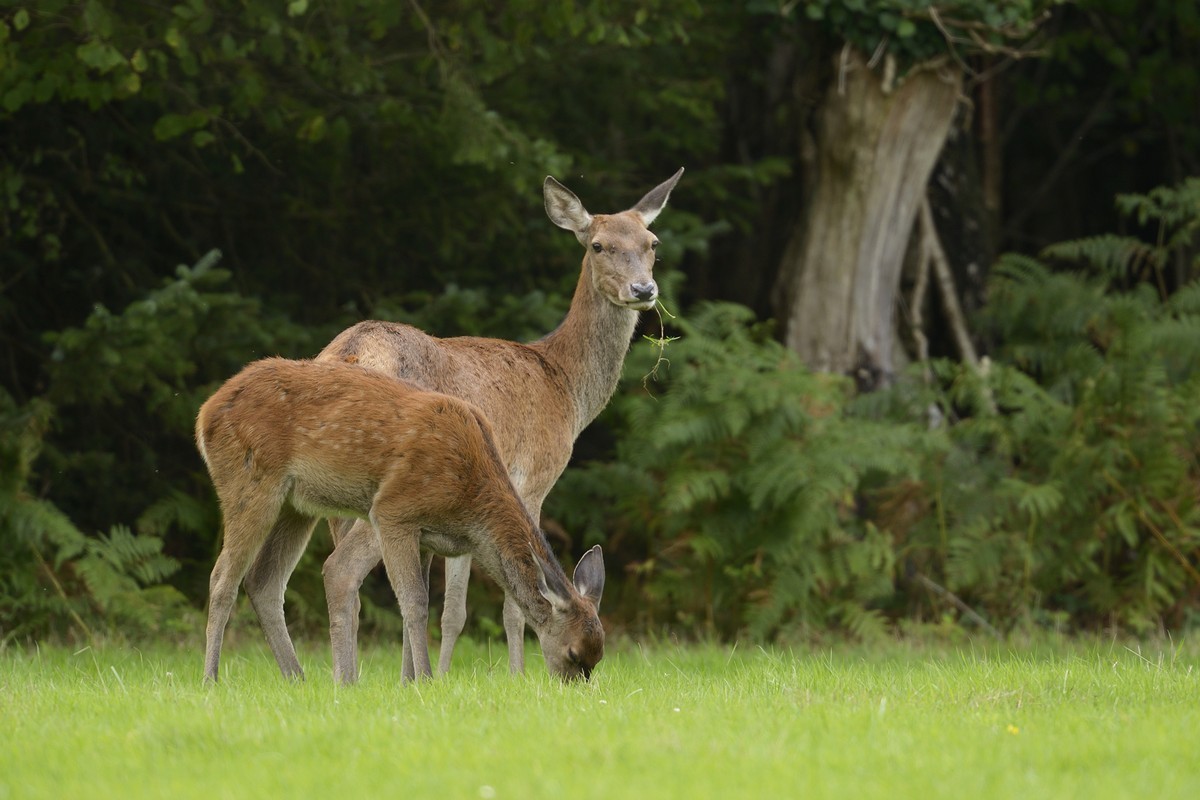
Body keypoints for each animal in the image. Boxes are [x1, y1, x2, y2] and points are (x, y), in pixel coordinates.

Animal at [201, 359, 609, 686]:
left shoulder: (427, 536)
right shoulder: (394, 511)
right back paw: (211, 680)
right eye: (574, 654)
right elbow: (414, 601)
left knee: (263, 581)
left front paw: (410, 679)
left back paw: (297, 678)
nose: (575, 689)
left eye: (599, 656)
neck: (470, 498)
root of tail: (205, 415)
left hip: (297, 506)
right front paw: (425, 679)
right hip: (250, 482)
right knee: (222, 577)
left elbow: (422, 599)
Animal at [309, 169, 681, 681]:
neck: (565, 388)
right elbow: (495, 604)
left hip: (337, 497)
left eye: (652, 242)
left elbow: (439, 599)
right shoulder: (534, 478)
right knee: (341, 570)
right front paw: (514, 675)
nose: (644, 290)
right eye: (598, 245)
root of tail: (349, 353)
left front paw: (417, 678)